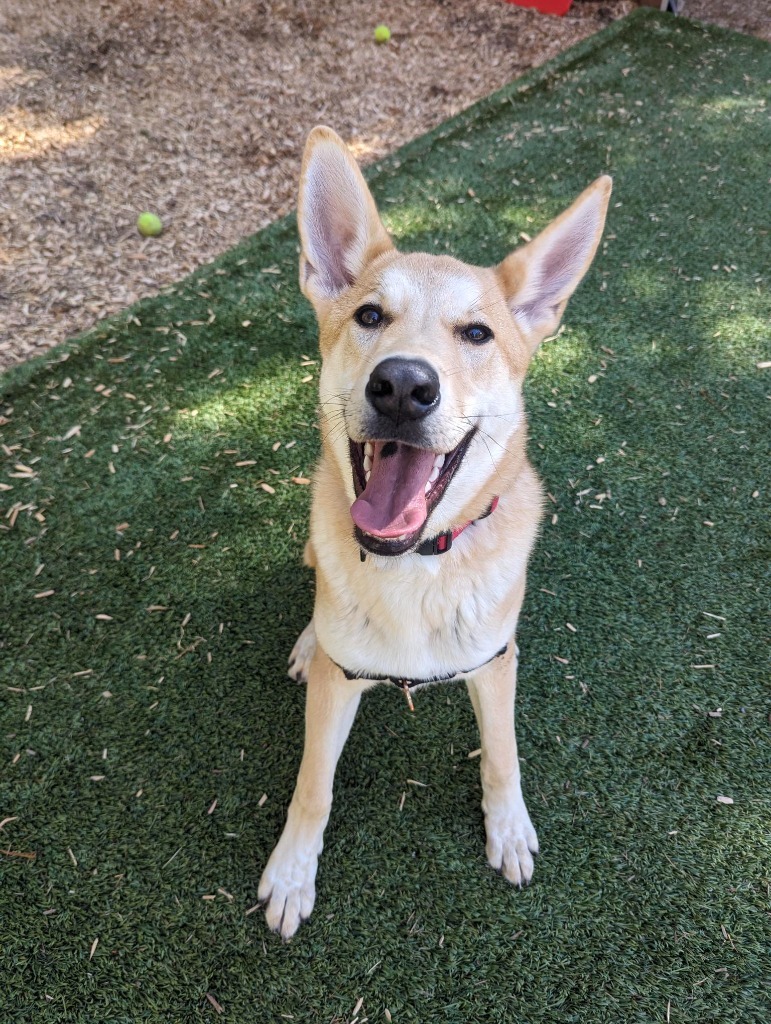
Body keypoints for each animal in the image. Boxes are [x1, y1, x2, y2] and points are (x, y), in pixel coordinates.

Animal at [257, 125, 606, 937]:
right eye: (369, 317)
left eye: (476, 333)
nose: (403, 385)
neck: (411, 566)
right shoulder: (340, 687)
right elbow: (312, 784)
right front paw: (291, 872)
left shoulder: (496, 663)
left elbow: (502, 755)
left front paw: (507, 829)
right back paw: (308, 642)